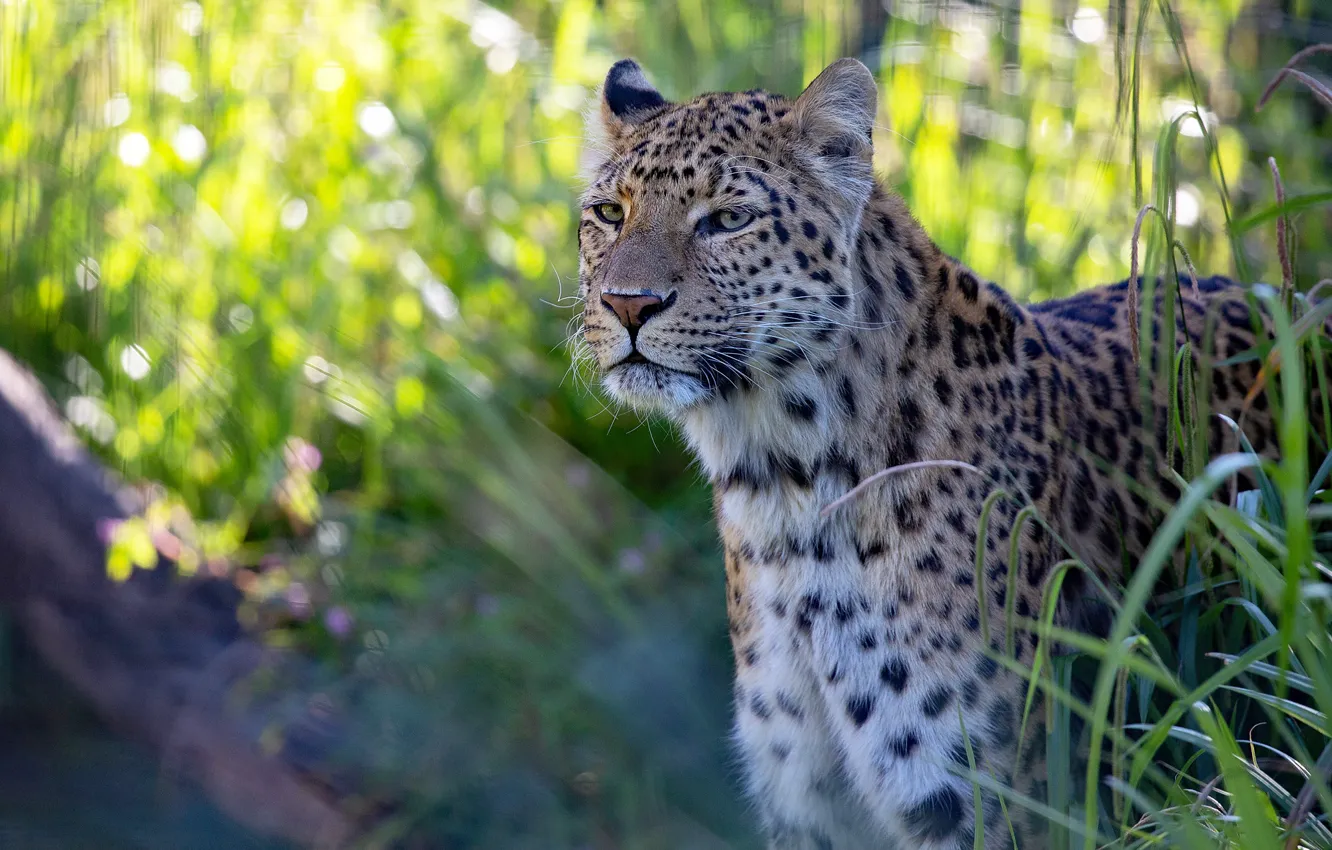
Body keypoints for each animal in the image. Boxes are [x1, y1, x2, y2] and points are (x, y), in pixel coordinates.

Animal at [574, 57, 1304, 849]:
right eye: (609, 214)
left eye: (728, 220)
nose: (628, 304)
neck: (783, 487)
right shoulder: (803, 801)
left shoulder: (988, 803)